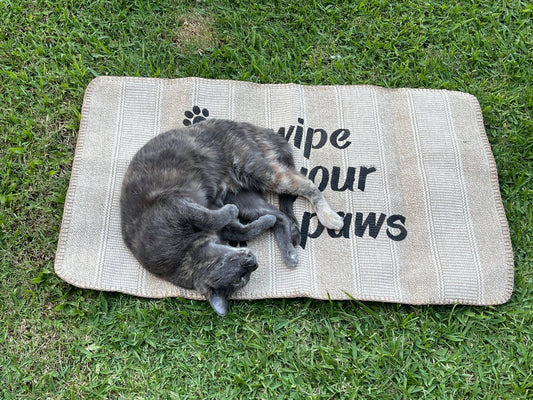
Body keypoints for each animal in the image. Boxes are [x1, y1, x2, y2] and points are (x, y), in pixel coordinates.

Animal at [120, 119, 344, 316]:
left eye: (242, 271)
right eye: (242, 279)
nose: (253, 262)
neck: (183, 255)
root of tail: (253, 127)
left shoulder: (178, 206)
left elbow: (209, 217)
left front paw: (228, 212)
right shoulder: (223, 223)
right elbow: (243, 229)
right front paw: (255, 223)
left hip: (261, 171)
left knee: (308, 185)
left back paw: (330, 217)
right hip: (245, 199)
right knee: (280, 216)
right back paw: (289, 251)